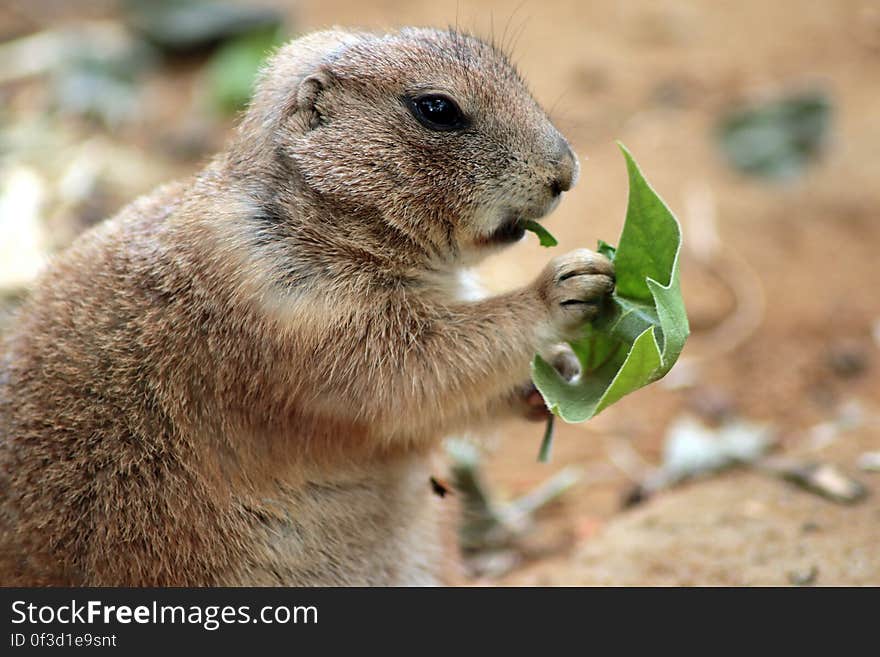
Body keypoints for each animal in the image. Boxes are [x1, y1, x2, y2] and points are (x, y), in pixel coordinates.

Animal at [0, 29, 616, 584]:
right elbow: (411, 369)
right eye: (437, 109)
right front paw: (567, 284)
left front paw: (553, 377)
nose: (566, 172)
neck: (313, 219)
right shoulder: (288, 302)